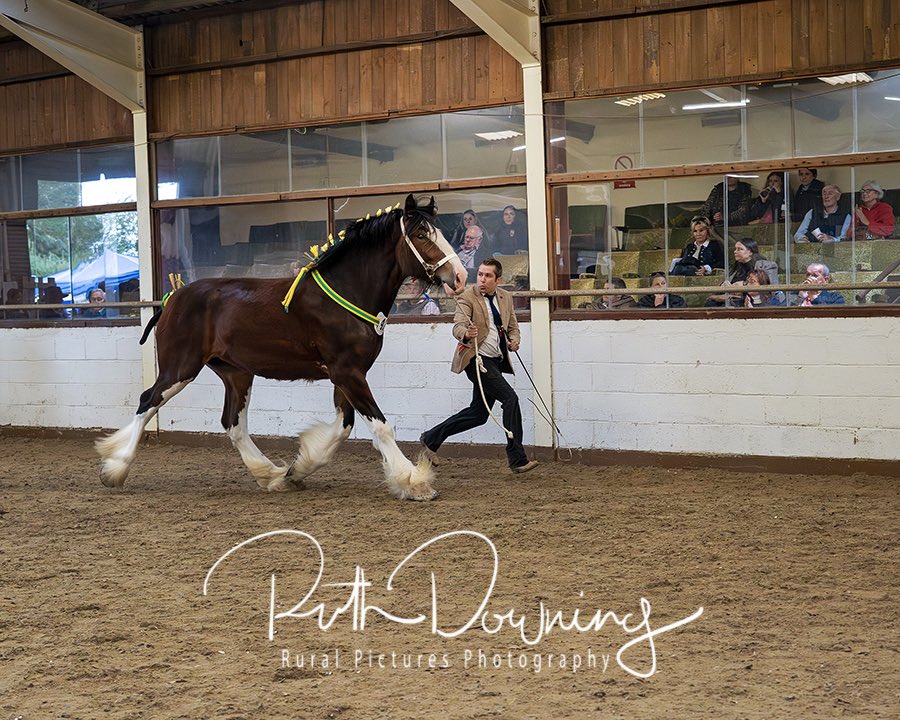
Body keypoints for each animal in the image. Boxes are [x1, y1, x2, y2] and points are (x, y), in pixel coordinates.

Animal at [96, 194, 467, 501]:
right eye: (422, 235)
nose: (460, 276)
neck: (347, 291)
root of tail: (171, 300)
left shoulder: (346, 375)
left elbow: (342, 428)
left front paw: (297, 470)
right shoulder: (348, 372)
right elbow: (379, 426)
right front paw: (413, 482)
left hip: (236, 374)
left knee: (232, 423)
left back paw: (269, 473)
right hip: (180, 368)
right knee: (148, 401)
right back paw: (115, 468)